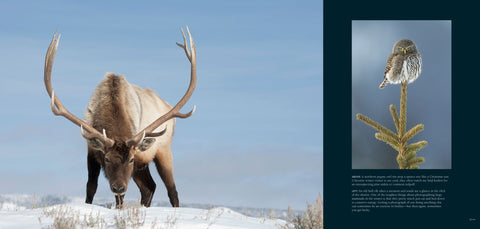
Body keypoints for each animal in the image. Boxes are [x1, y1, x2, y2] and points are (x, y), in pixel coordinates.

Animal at [43, 27, 196, 208]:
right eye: (107, 159)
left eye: (130, 159)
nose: (118, 187)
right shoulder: (91, 149)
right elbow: (91, 187)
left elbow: (119, 199)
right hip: (142, 165)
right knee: (149, 187)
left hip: (163, 151)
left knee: (172, 190)